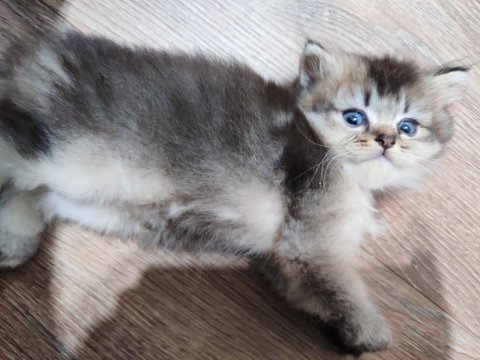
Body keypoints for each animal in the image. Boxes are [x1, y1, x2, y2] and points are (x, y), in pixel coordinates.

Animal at [0, 31, 466, 354]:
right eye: (355, 117)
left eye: (408, 126)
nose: (386, 140)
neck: (343, 170)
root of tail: (48, 59)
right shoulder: (309, 241)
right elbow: (342, 285)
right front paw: (369, 331)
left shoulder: (285, 256)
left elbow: (308, 290)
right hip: (75, 158)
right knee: (14, 150)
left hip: (94, 198)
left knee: (32, 190)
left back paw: (15, 239)